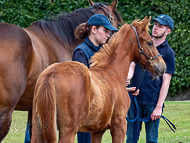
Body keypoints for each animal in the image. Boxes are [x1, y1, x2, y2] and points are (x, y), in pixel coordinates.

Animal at [31, 17, 166, 143]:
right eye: (150, 42)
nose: (163, 66)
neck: (113, 71)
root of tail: (52, 73)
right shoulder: (119, 126)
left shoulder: (97, 130)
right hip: (68, 131)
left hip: (39, 128)